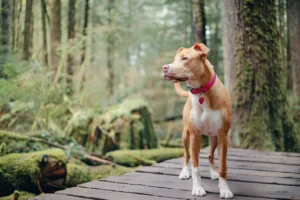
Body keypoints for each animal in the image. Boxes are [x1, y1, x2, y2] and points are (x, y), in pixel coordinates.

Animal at [162, 43, 234, 198]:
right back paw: (184, 172)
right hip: (185, 136)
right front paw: (198, 188)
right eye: (174, 60)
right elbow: (196, 167)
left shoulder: (223, 136)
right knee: (186, 154)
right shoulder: (195, 135)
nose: (164, 67)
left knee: (210, 155)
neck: (201, 91)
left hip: (213, 138)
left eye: (184, 58)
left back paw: (214, 173)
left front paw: (224, 189)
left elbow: (223, 166)